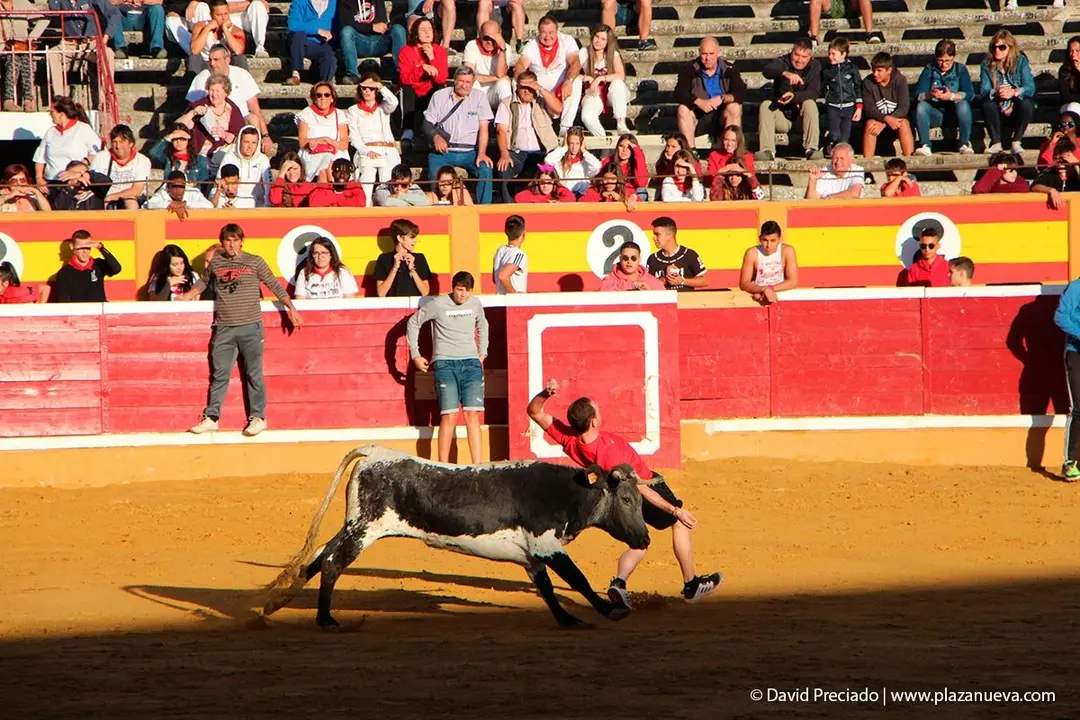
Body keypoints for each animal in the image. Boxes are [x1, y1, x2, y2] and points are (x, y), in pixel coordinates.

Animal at [262, 445, 651, 630]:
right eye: (627, 500)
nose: (645, 540)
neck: (563, 492)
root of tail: (376, 451)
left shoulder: (532, 557)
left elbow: (547, 590)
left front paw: (569, 620)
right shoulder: (546, 546)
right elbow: (578, 579)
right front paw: (610, 610)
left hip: (355, 523)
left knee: (320, 555)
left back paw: (274, 605)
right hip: (366, 528)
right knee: (332, 562)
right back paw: (326, 620)